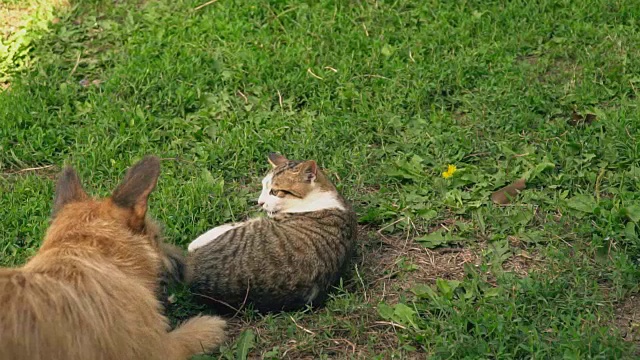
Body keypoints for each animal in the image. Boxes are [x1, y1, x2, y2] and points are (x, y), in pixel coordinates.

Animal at [0, 157, 228, 360]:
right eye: (156, 237)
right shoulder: (160, 349)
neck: (85, 250)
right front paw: (209, 326)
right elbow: (188, 337)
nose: (183, 263)